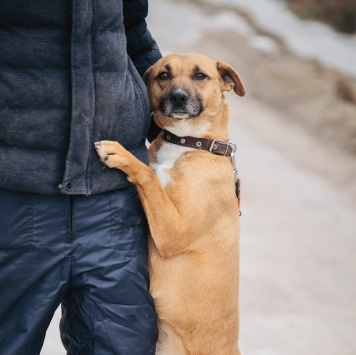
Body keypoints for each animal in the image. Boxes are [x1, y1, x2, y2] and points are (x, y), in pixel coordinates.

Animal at [94, 53, 245, 355]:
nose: (178, 97)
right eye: (164, 75)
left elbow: (148, 175)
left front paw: (121, 153)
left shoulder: (173, 231)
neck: (188, 142)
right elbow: (151, 175)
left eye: (200, 75)